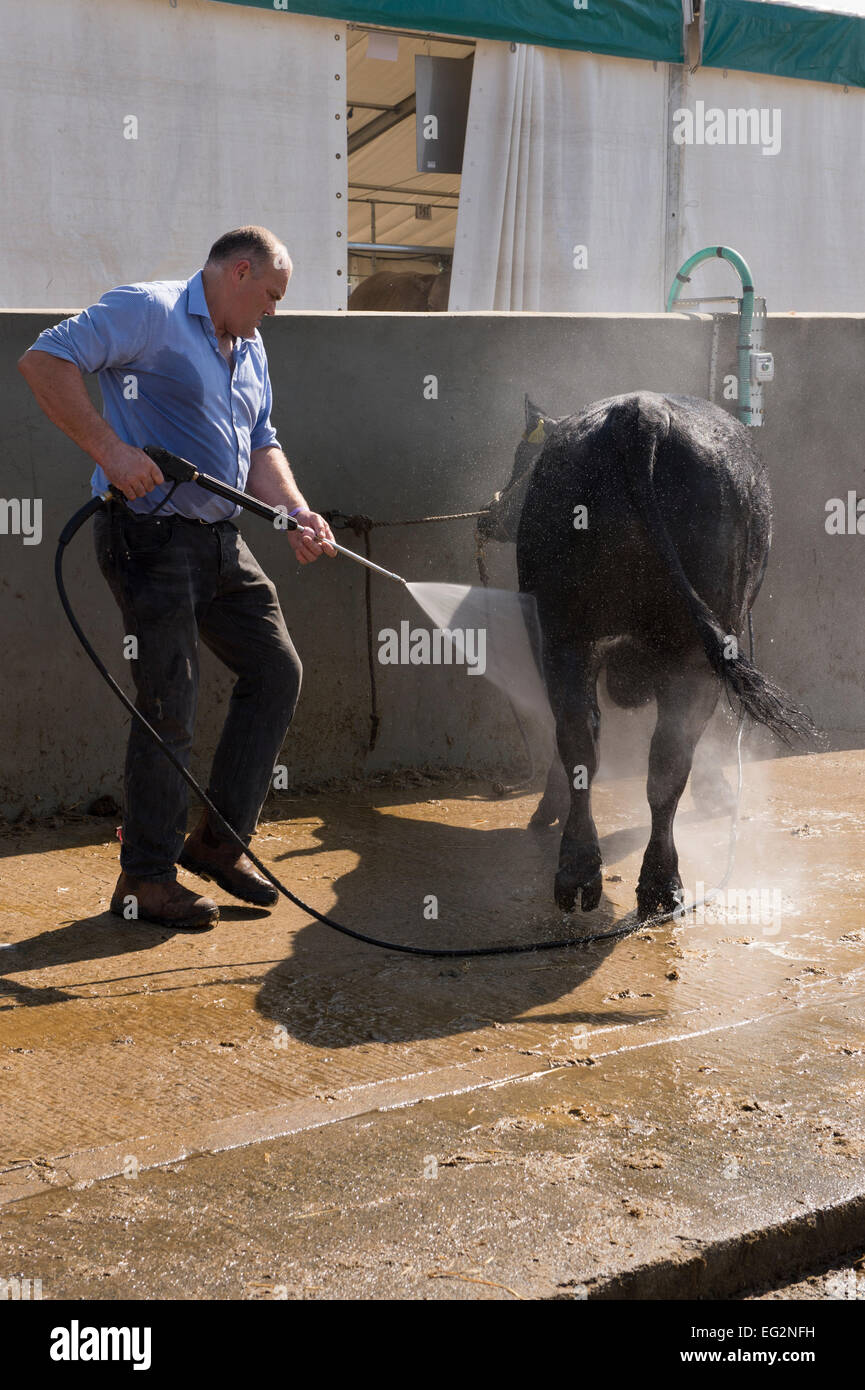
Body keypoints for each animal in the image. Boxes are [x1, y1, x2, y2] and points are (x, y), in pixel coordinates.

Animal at [481, 389, 817, 922]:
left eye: (519, 457)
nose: (488, 517)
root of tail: (641, 412)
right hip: (679, 651)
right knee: (662, 757)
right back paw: (653, 882)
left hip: (568, 637)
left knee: (589, 742)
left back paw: (585, 873)